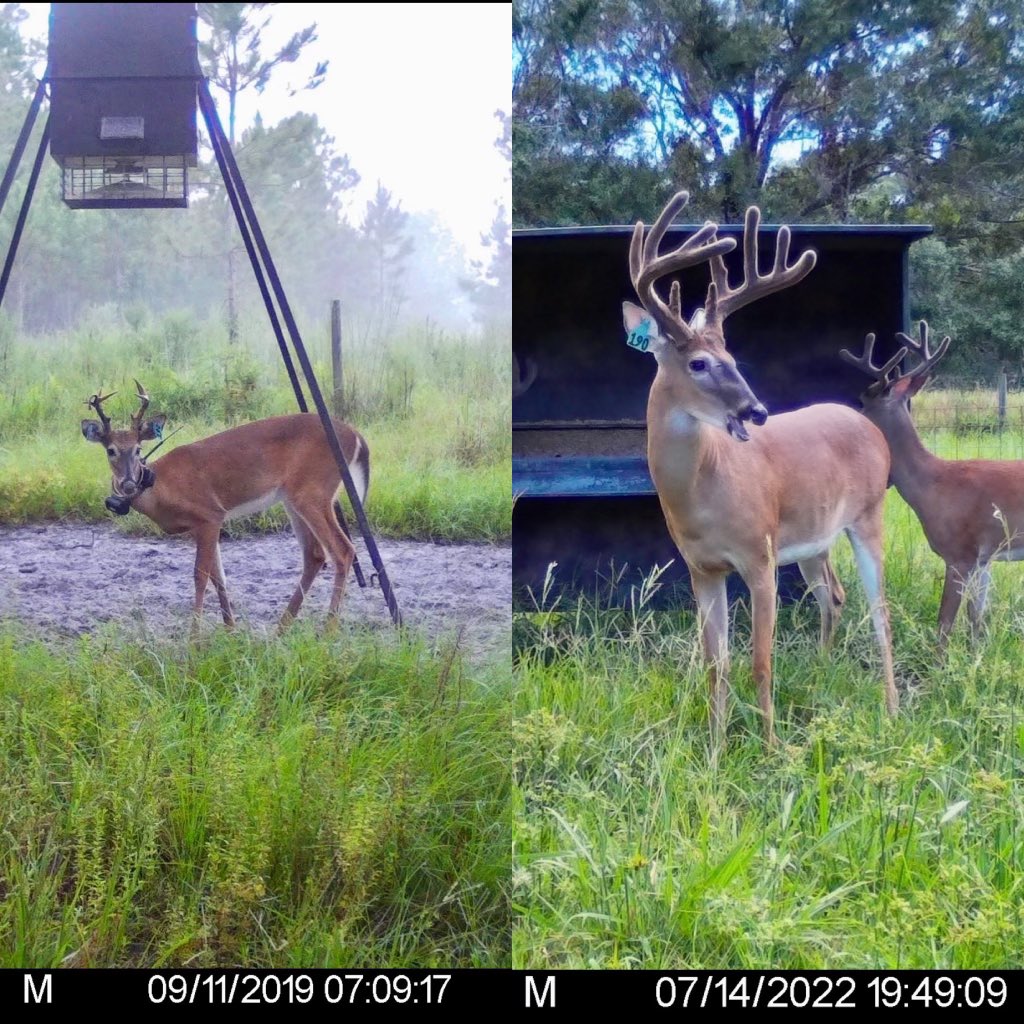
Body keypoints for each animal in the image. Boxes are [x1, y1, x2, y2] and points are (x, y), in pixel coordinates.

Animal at [81, 381, 369, 630]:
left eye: (139, 449)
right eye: (110, 450)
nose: (129, 483)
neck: (162, 486)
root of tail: (356, 436)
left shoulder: (210, 514)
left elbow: (200, 576)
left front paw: (195, 641)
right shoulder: (200, 526)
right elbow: (218, 577)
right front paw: (231, 630)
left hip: (313, 492)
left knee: (343, 551)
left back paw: (327, 631)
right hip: (293, 498)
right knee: (315, 555)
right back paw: (280, 631)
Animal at [624, 190, 898, 746]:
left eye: (733, 355)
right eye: (699, 363)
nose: (757, 410)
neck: (703, 493)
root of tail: (869, 425)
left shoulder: (760, 557)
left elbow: (761, 663)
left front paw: (772, 748)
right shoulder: (701, 568)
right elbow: (716, 666)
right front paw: (714, 749)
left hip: (869, 516)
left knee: (881, 614)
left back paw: (893, 711)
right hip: (815, 540)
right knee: (833, 596)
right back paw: (823, 671)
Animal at [841, 321, 1024, 643]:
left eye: (863, 400)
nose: (846, 415)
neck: (933, 485)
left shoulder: (959, 554)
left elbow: (944, 626)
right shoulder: (984, 557)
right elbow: (976, 624)